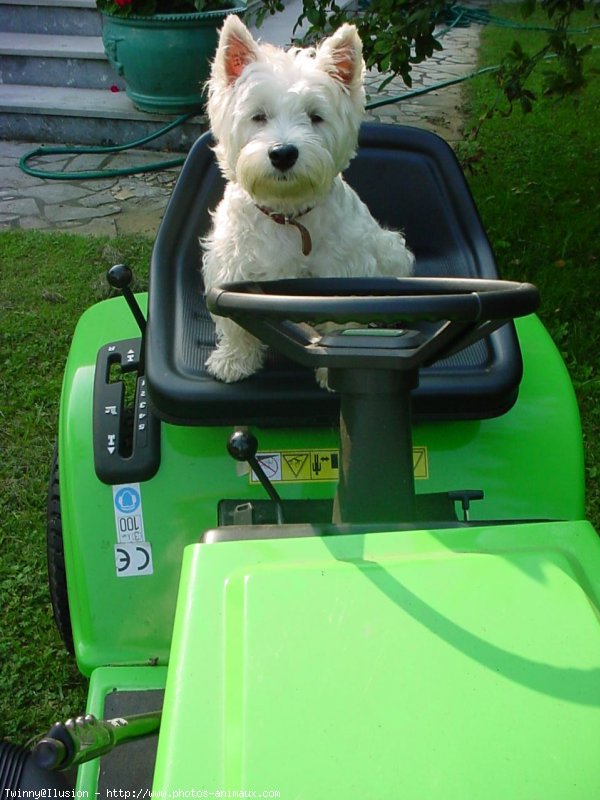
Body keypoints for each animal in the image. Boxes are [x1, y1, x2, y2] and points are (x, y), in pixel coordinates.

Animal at [202, 15, 412, 384]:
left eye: (315, 116)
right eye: (259, 116)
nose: (283, 154)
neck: (287, 214)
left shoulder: (343, 275)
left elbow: (341, 322)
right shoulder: (231, 268)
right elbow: (235, 325)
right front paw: (233, 361)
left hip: (392, 248)